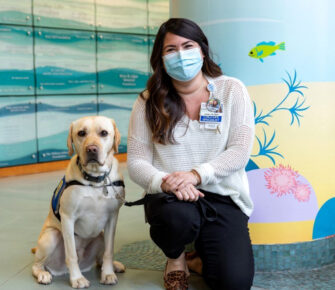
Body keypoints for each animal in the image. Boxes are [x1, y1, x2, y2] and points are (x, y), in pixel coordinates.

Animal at [32, 115, 126, 288]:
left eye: (104, 133)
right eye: (81, 133)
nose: (92, 149)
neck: (95, 179)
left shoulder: (112, 218)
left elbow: (109, 251)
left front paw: (108, 274)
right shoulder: (68, 218)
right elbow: (71, 254)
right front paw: (77, 279)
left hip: (100, 236)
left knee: (100, 259)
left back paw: (113, 266)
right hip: (51, 237)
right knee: (37, 265)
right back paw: (43, 274)